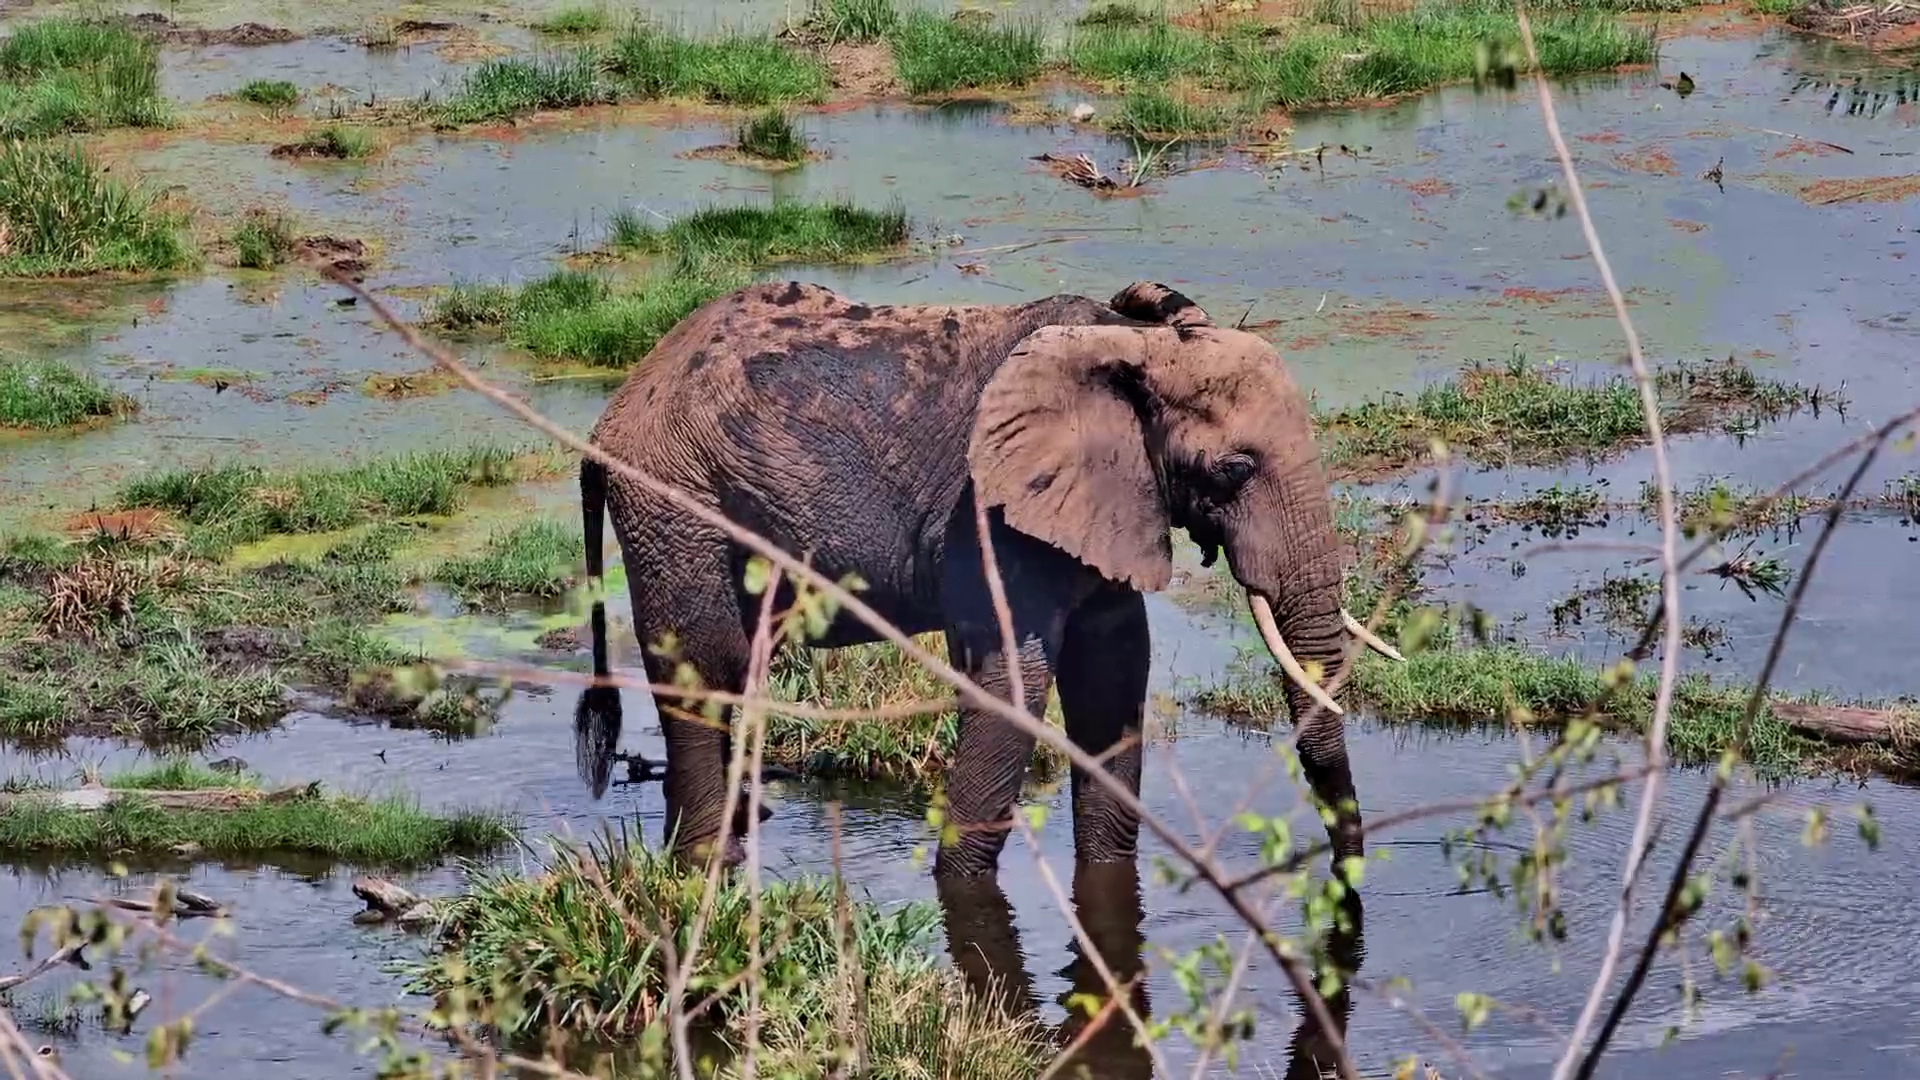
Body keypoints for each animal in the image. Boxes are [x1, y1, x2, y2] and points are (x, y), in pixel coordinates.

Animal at [570, 277, 1405, 878]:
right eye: (1233, 470)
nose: (1348, 877)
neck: (1132, 343)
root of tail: (615, 409)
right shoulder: (994, 516)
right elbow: (1014, 686)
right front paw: (959, 881)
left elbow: (1112, 675)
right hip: (675, 499)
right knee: (705, 670)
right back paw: (707, 863)